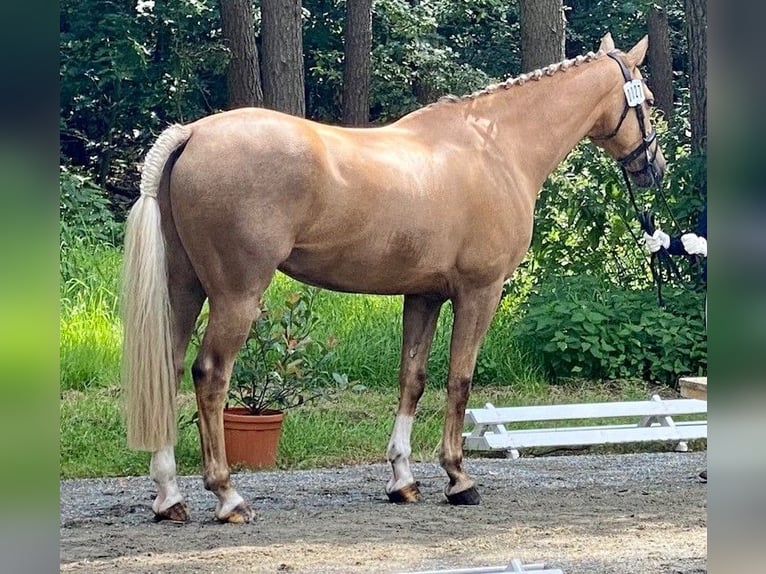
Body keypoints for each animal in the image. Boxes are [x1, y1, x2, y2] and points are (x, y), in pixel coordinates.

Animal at [121, 33, 664, 524]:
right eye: (650, 102)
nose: (653, 167)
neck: (494, 147)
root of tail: (193, 133)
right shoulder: (480, 293)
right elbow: (460, 380)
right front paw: (459, 479)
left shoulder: (423, 295)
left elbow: (413, 379)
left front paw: (403, 479)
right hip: (236, 296)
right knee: (210, 375)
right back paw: (228, 497)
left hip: (183, 290)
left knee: (168, 368)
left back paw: (169, 497)